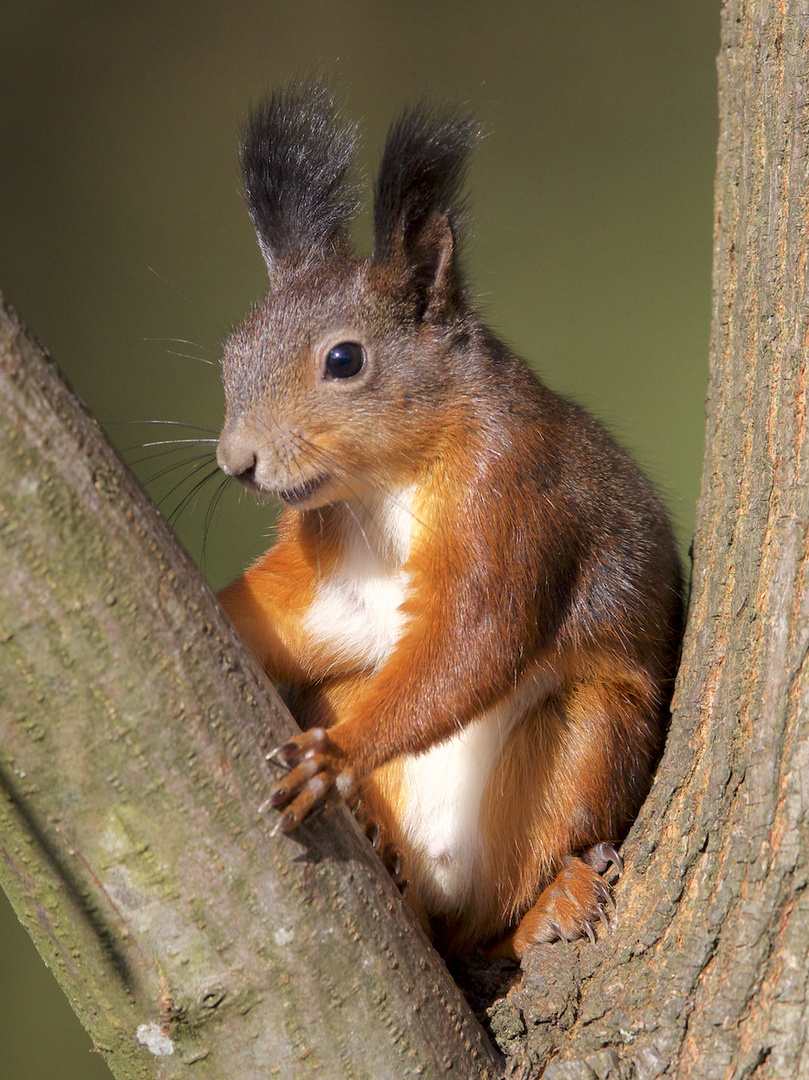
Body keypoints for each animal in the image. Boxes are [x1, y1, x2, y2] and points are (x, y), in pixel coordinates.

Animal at [214, 84, 682, 963]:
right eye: (231, 354)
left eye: (344, 361)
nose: (236, 461)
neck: (380, 486)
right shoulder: (328, 569)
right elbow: (296, 620)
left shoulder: (515, 493)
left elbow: (476, 634)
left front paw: (336, 759)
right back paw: (383, 845)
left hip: (588, 737)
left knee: (493, 921)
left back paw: (553, 901)